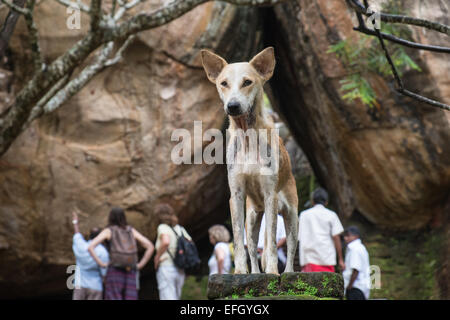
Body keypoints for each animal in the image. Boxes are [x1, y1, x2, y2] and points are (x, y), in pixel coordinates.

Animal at [201, 48, 298, 276]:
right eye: (223, 83)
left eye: (247, 82)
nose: (233, 105)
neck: (247, 138)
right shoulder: (236, 194)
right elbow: (238, 241)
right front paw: (239, 272)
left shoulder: (270, 194)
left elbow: (272, 243)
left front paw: (272, 271)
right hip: (253, 218)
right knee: (253, 250)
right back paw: (253, 273)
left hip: (292, 216)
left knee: (290, 249)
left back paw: (288, 272)